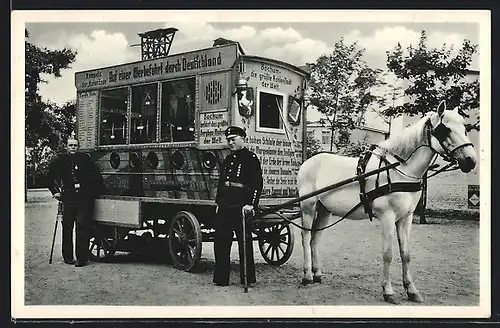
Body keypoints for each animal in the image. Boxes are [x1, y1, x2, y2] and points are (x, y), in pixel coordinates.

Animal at [296, 101, 476, 304]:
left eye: (465, 128)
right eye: (444, 129)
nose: (471, 160)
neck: (400, 171)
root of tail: (308, 162)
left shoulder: (406, 218)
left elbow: (406, 254)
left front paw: (411, 290)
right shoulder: (387, 217)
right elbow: (388, 254)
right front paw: (388, 291)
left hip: (324, 210)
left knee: (315, 238)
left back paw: (317, 274)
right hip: (308, 207)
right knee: (305, 237)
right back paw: (307, 276)